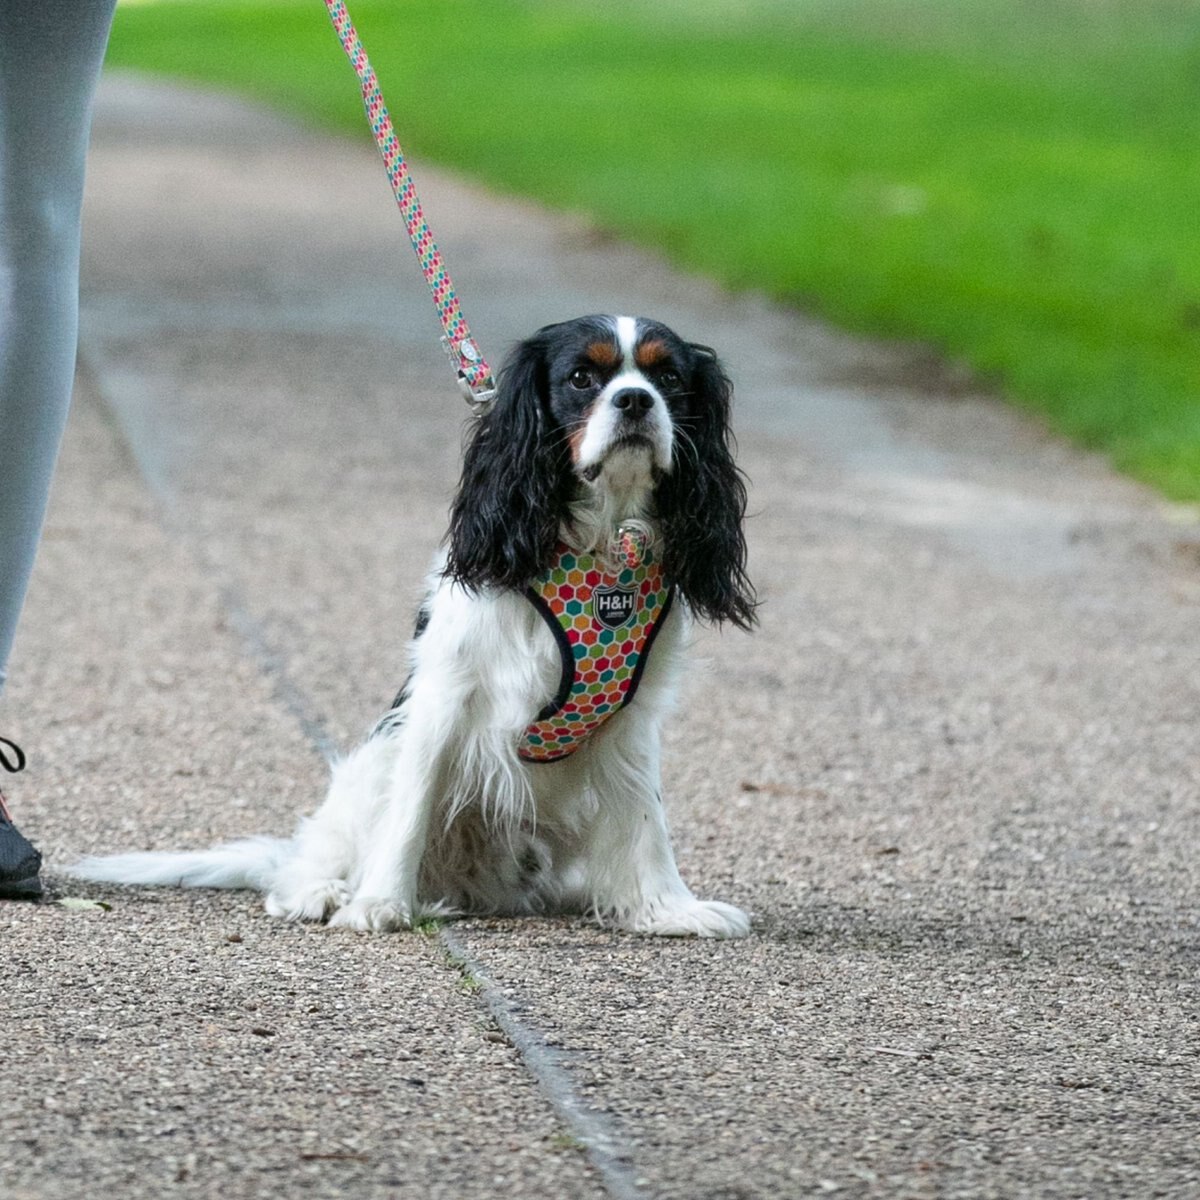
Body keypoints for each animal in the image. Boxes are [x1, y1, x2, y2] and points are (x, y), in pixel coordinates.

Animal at [70, 316, 753, 936]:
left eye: (669, 378)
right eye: (583, 378)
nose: (636, 399)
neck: (603, 547)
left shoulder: (632, 716)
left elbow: (645, 818)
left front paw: (668, 909)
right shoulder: (443, 696)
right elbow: (409, 811)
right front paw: (379, 904)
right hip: (370, 766)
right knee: (304, 863)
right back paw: (322, 891)